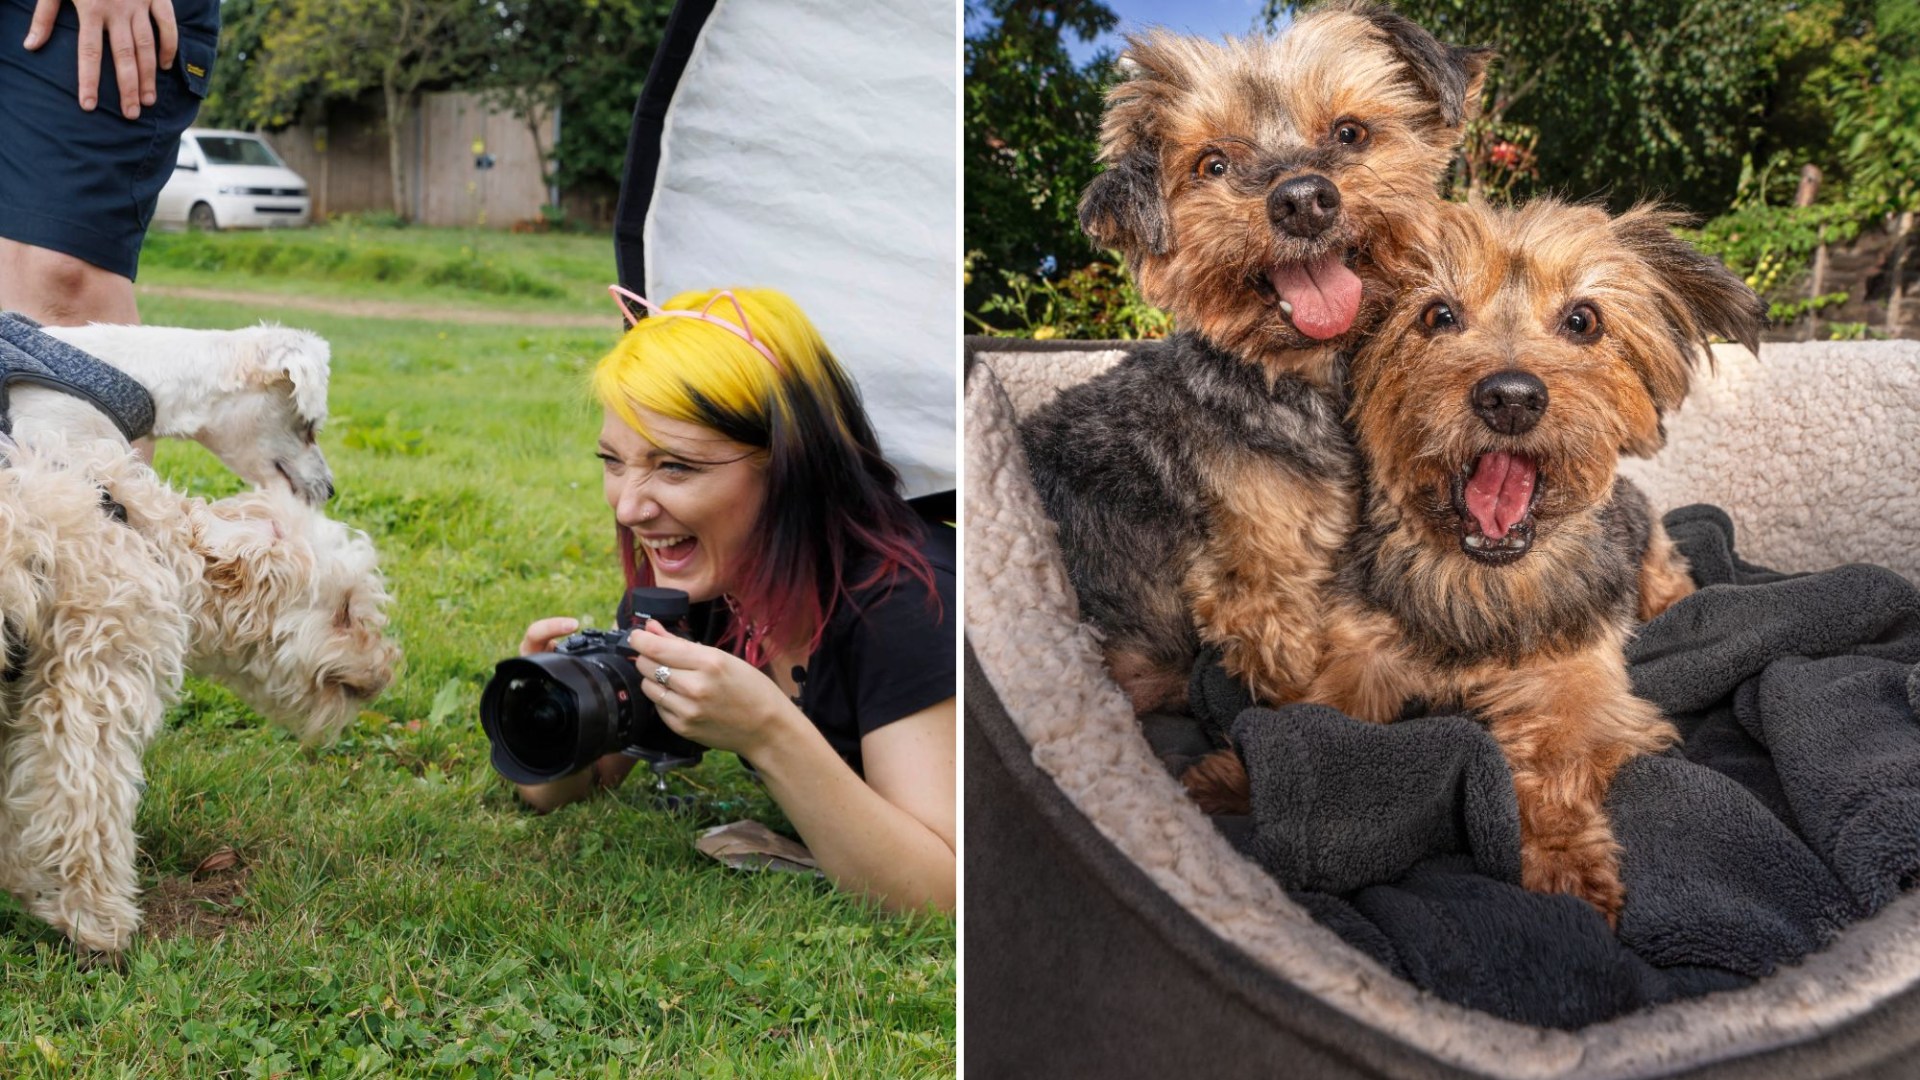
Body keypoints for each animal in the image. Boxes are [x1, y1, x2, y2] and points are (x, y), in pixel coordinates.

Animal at [0, 428, 397, 949]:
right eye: (346, 610)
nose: (388, 670)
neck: (150, 538)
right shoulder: (87, 697)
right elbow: (85, 810)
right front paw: (97, 922)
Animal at [1182, 197, 1766, 922]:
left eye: (1583, 320)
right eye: (1438, 315)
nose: (1510, 397)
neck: (1484, 577)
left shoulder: (1576, 681)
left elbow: (1559, 754)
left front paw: (1566, 860)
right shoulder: (1361, 652)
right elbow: (1320, 716)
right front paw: (1237, 778)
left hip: (1655, 560)